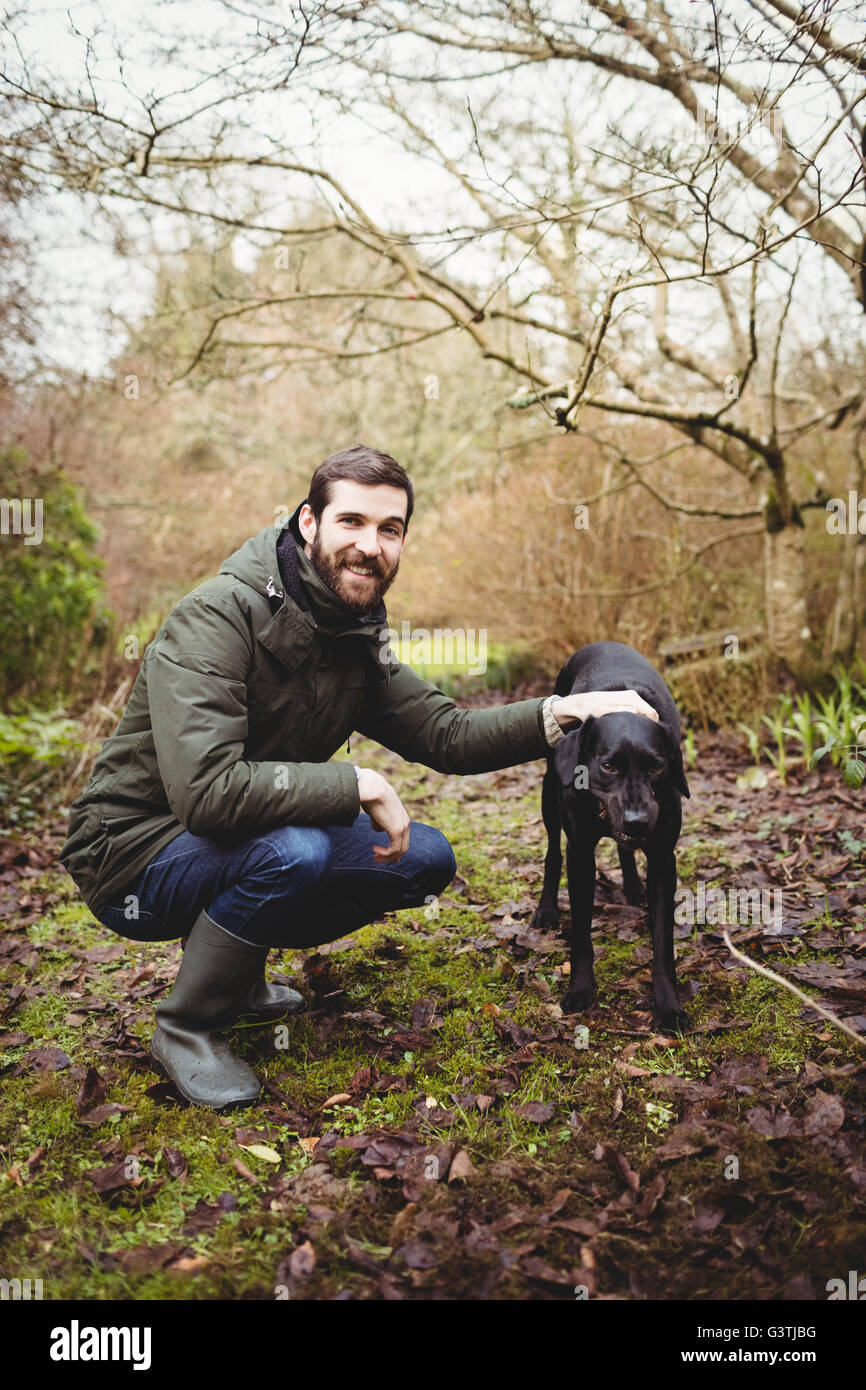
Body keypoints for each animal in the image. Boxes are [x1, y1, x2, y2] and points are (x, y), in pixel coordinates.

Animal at [536, 639, 692, 1034]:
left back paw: (635, 889)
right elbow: (580, 931)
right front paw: (580, 988)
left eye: (657, 767)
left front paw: (669, 1006)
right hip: (549, 792)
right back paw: (545, 909)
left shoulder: (663, 857)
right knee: (552, 853)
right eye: (607, 766)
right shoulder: (580, 854)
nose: (638, 821)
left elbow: (663, 942)